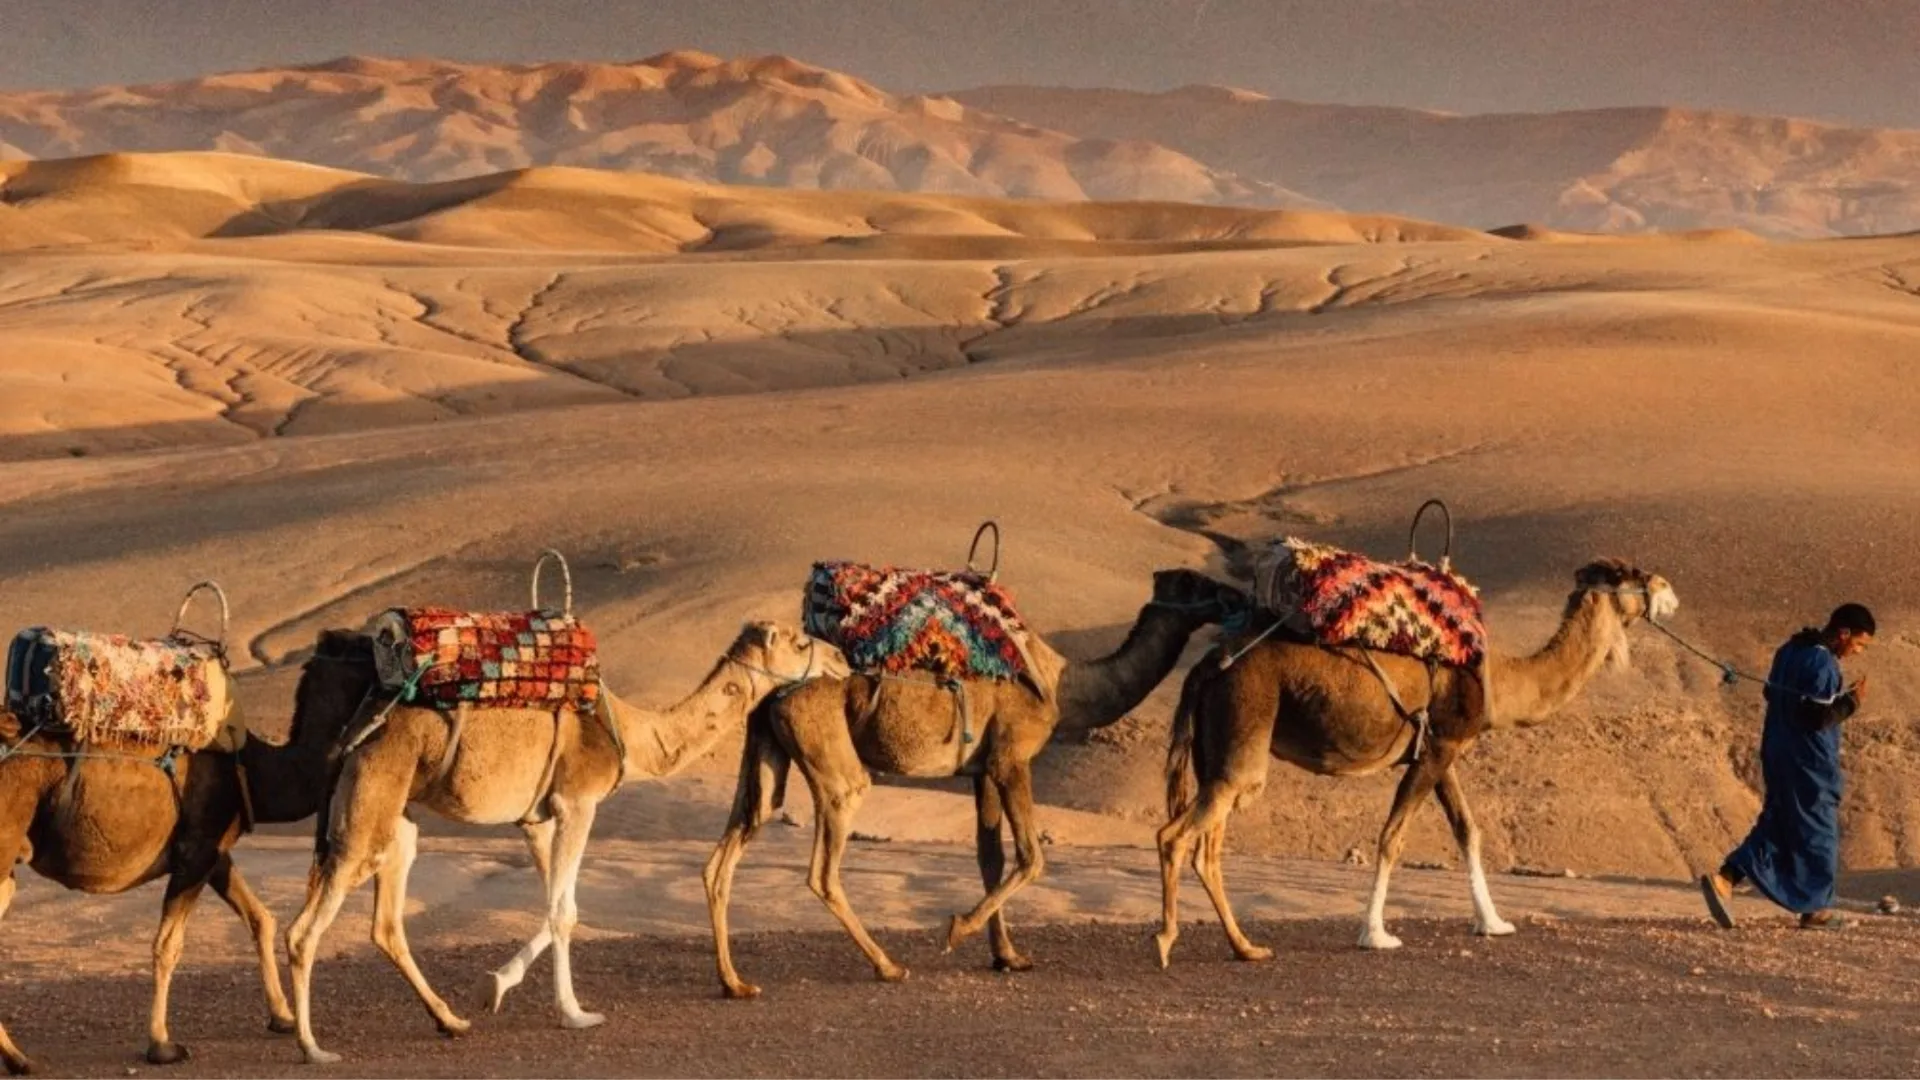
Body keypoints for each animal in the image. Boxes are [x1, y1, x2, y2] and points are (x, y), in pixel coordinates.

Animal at [0, 629, 374, 1073]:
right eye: (374, 646)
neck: (253, 768)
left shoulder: (214, 850)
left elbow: (259, 919)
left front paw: (281, 1017)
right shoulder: (196, 851)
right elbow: (168, 945)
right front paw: (162, 1045)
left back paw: (17, 1058)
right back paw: (19, 1058)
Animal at [285, 620, 847, 1065]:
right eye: (800, 641)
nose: (841, 660)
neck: (632, 733)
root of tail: (351, 733)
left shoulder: (538, 817)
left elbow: (561, 904)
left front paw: (495, 986)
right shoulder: (579, 800)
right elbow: (563, 913)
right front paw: (575, 1013)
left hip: (395, 817)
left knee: (384, 923)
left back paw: (451, 1020)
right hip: (372, 798)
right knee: (305, 931)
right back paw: (313, 1047)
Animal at [704, 568, 1248, 998]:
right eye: (1199, 583)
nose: (1238, 597)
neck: (1063, 686)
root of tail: (778, 688)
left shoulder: (982, 768)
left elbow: (993, 857)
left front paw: (1007, 955)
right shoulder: (1012, 757)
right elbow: (1031, 856)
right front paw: (957, 929)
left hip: (766, 747)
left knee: (736, 839)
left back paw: (734, 982)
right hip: (830, 755)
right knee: (825, 861)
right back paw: (887, 965)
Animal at [1154, 558, 1678, 965]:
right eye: (1631, 573)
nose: (1669, 590)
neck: (1497, 680)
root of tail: (1207, 665)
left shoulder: (1439, 750)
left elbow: (1468, 830)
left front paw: (1493, 923)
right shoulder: (1440, 747)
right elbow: (1393, 837)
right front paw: (1375, 934)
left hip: (1218, 747)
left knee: (1208, 846)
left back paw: (1247, 947)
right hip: (1244, 723)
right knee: (1175, 835)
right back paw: (1165, 941)